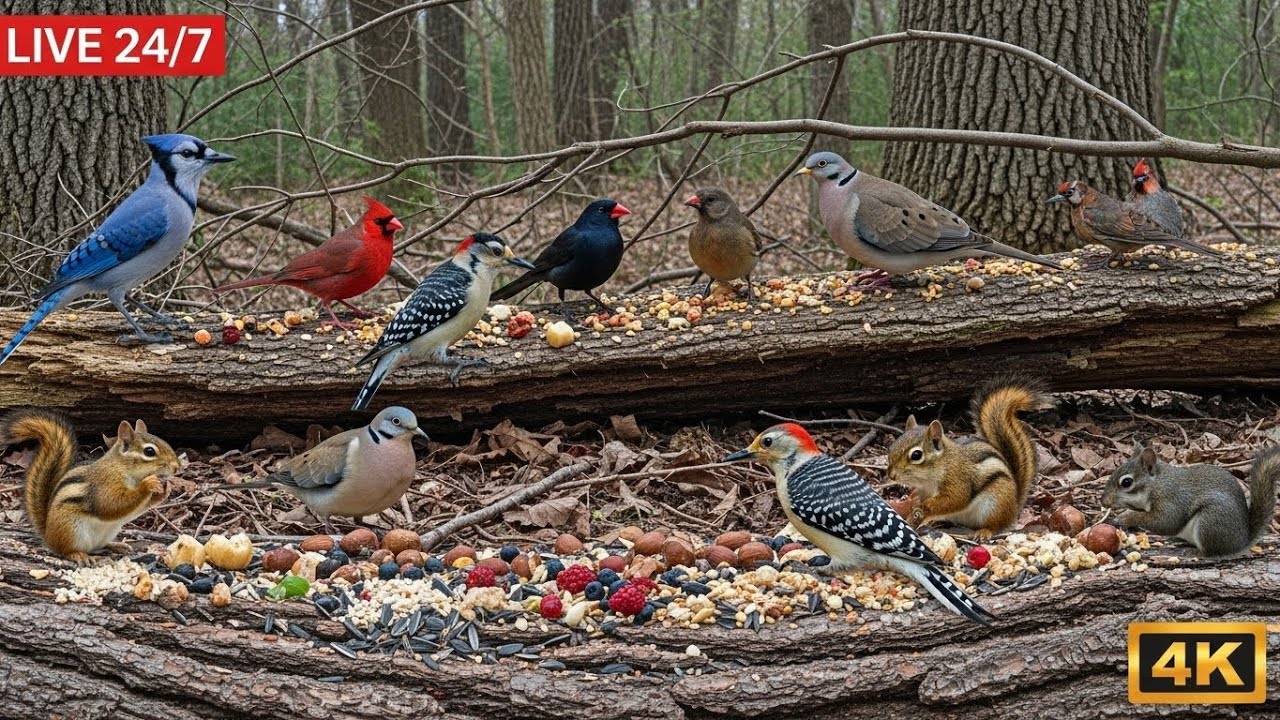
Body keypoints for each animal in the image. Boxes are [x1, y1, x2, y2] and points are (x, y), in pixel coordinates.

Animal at [0, 409, 179, 563]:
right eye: (149, 451)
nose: (177, 467)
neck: (122, 467)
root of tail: (48, 534)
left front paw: (164, 491)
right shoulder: (105, 484)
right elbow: (110, 505)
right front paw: (148, 484)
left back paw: (117, 545)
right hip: (70, 531)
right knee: (63, 550)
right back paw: (77, 554)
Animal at [887, 378, 1051, 540]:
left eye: (916, 455)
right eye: (894, 445)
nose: (891, 475)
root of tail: (1014, 507)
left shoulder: (958, 480)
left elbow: (955, 499)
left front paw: (927, 505)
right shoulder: (924, 490)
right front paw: (912, 507)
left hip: (997, 503)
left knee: (996, 525)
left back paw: (985, 532)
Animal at [1102, 443, 1279, 557]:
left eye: (1126, 482)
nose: (1103, 501)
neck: (1156, 484)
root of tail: (1241, 541)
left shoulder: (1172, 499)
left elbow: (1165, 522)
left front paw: (1124, 518)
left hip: (1210, 521)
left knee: (1211, 552)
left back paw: (1194, 552)